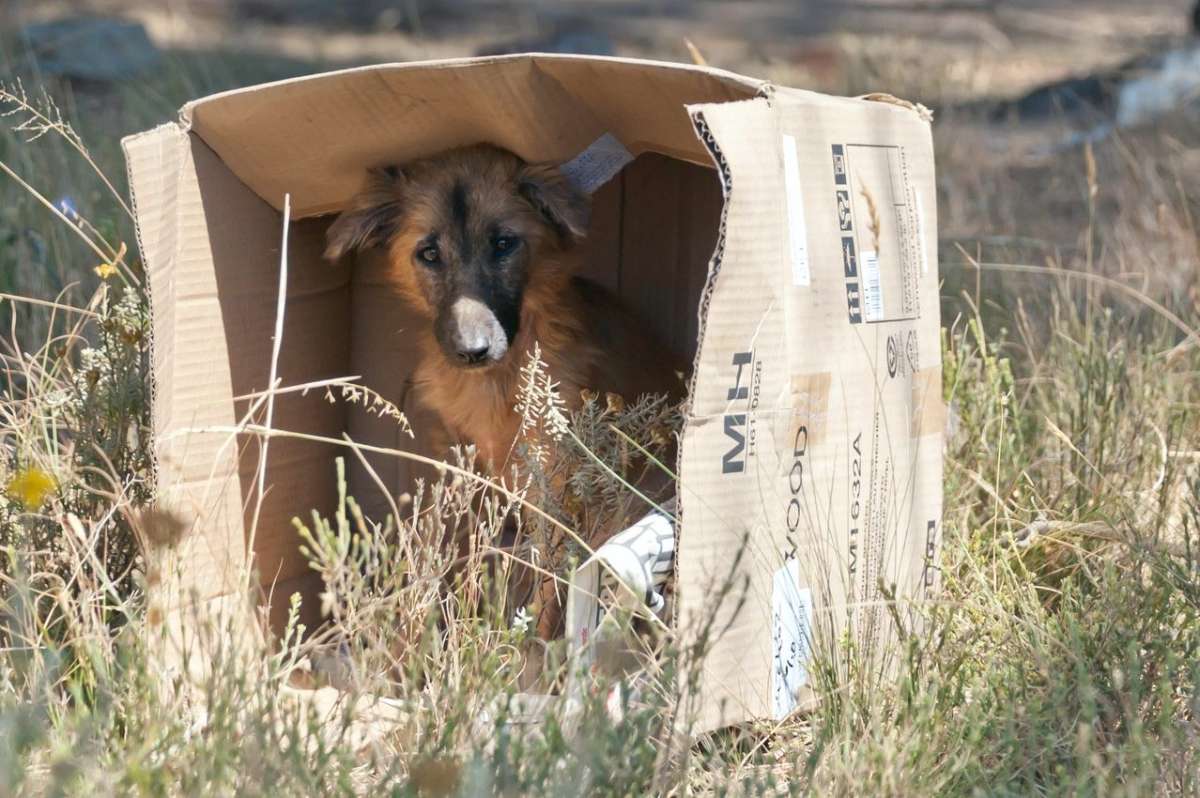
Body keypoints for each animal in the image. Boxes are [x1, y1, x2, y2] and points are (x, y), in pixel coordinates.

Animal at [326, 143, 686, 638]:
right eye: (429, 252)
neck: (496, 382)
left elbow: (548, 581)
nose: (472, 351)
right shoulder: (460, 463)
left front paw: (529, 642)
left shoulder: (553, 481)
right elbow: (460, 552)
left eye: (503, 243)